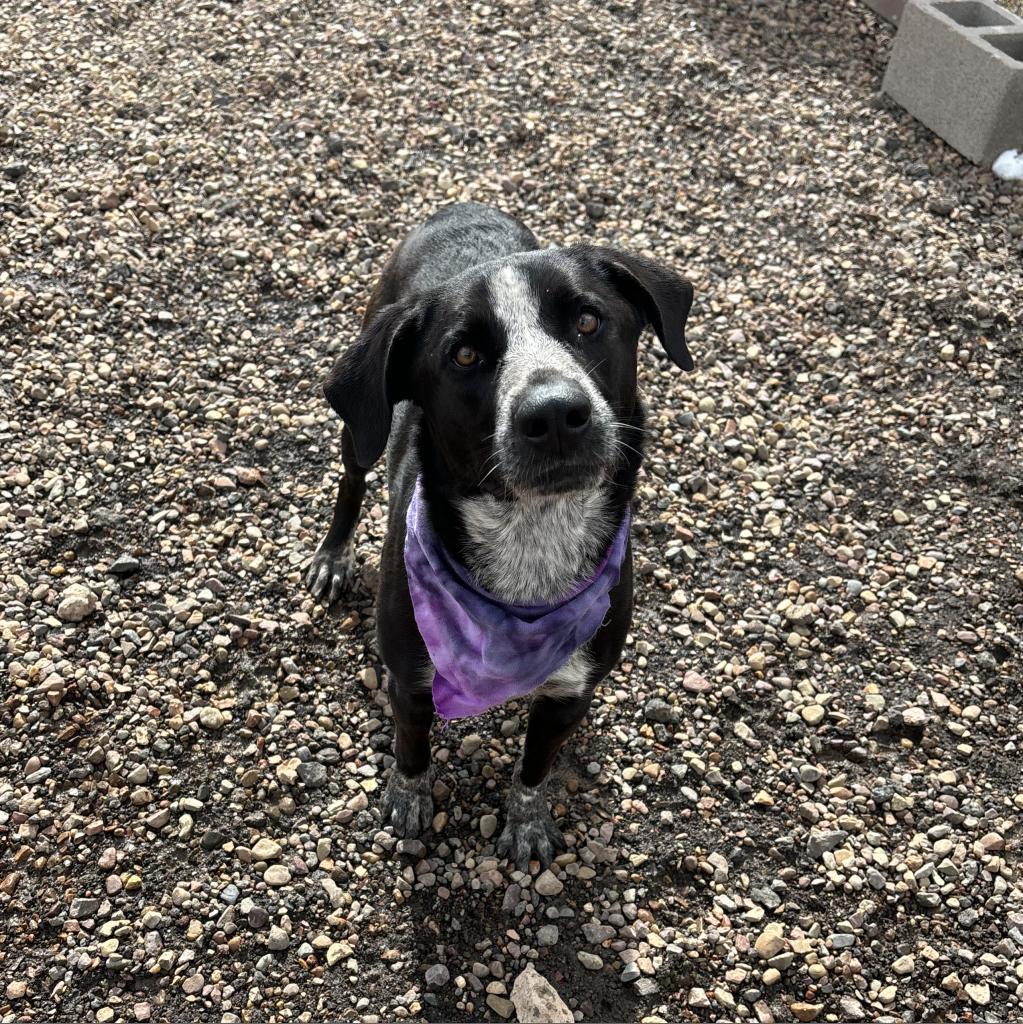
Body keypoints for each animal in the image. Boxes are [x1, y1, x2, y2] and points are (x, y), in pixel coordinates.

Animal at [307, 203, 696, 868]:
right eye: (464, 356)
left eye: (588, 320)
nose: (555, 413)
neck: (531, 544)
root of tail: (462, 207)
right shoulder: (410, 681)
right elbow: (411, 751)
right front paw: (408, 804)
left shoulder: (568, 693)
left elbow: (536, 766)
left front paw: (528, 822)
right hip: (361, 426)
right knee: (352, 477)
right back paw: (334, 555)